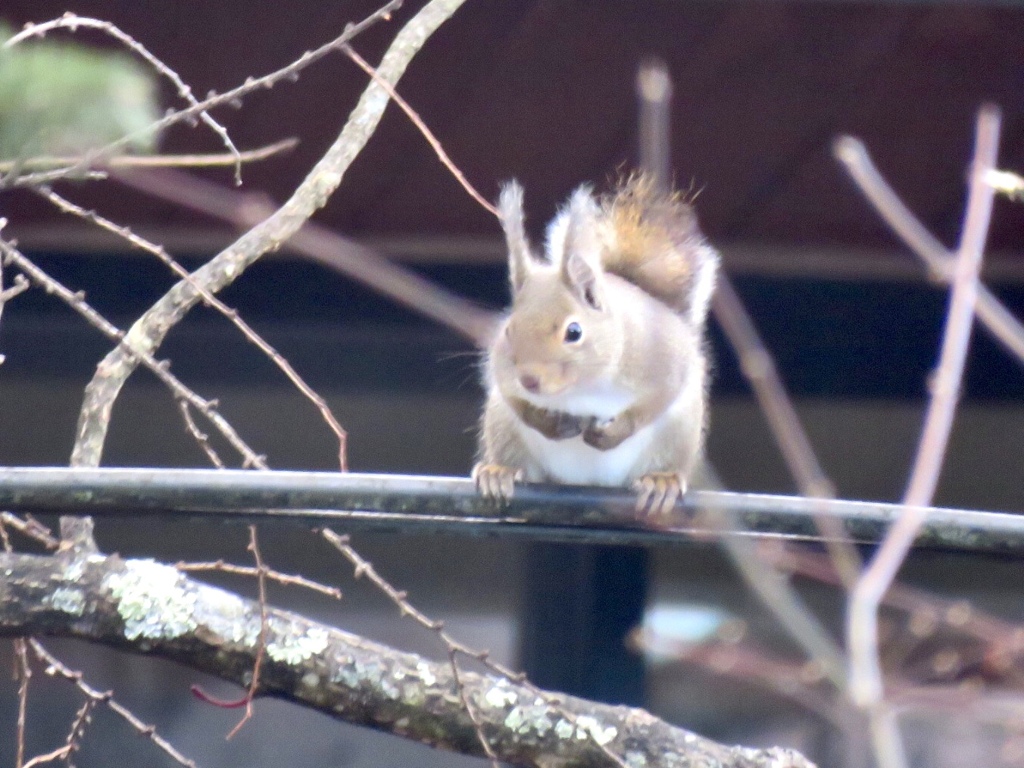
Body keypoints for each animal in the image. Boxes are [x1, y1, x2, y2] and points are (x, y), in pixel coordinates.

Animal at [471, 176, 720, 518]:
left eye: (574, 332)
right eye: (508, 330)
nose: (530, 380)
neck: (581, 386)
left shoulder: (663, 362)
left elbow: (655, 401)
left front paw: (610, 433)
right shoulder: (504, 376)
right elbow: (516, 400)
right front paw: (552, 424)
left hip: (679, 430)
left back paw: (661, 481)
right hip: (502, 426)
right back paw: (499, 473)